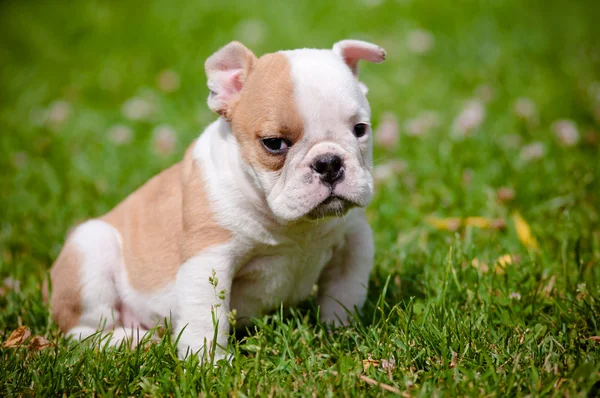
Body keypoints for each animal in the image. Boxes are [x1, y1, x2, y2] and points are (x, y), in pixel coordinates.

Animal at [49, 39, 386, 360]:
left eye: (360, 130)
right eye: (274, 143)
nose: (329, 162)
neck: (294, 225)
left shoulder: (353, 244)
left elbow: (344, 292)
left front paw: (341, 332)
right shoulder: (209, 258)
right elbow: (205, 318)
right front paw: (207, 362)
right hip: (91, 251)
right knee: (84, 330)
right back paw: (131, 340)